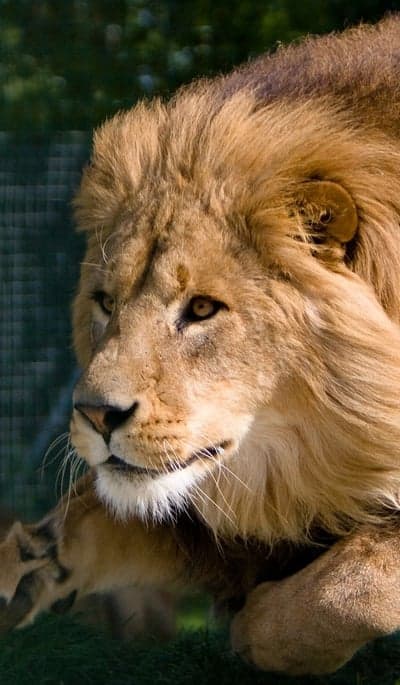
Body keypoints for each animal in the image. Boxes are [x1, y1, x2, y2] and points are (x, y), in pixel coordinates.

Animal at [1, 15, 400, 675]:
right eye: (105, 303)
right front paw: (30, 571)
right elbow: (91, 513)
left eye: (203, 309)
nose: (95, 415)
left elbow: (352, 586)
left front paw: (255, 626)